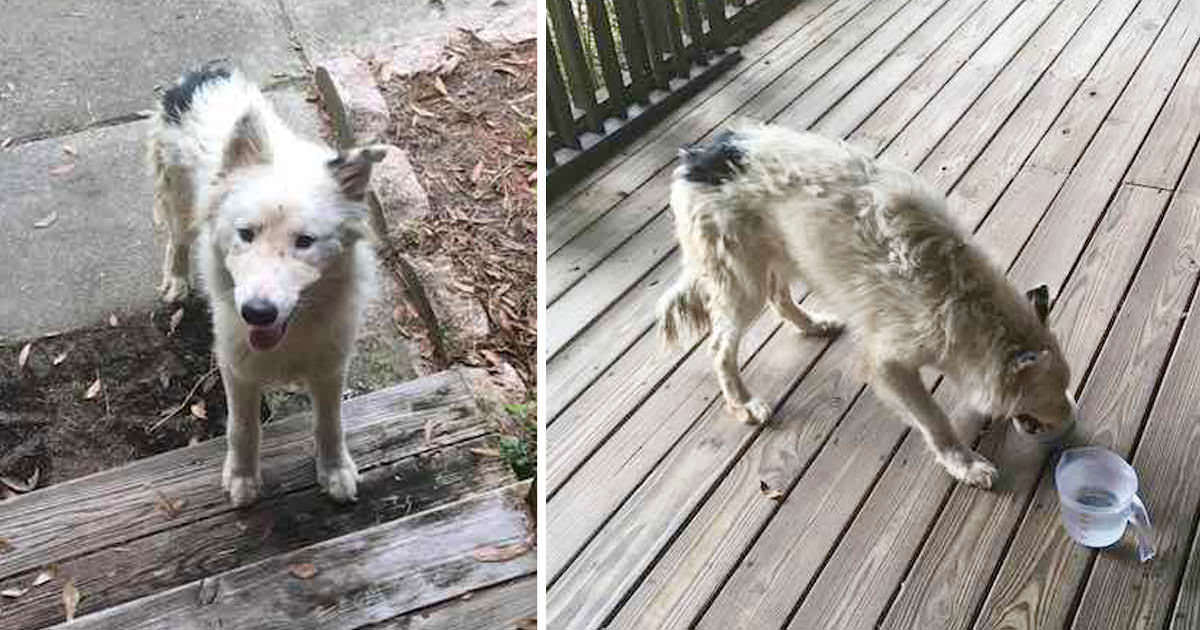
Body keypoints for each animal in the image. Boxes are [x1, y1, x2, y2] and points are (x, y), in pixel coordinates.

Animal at [148, 62, 384, 506]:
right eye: (246, 234)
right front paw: (243, 479)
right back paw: (176, 280)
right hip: (179, 201)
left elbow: (330, 423)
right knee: (178, 239)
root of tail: (206, 72)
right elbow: (243, 428)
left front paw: (334, 470)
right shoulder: (236, 366)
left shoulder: (330, 365)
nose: (257, 313)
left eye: (305, 242)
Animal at [657, 123, 1080, 487]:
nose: (1072, 422)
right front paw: (965, 464)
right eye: (1049, 399)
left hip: (781, 256)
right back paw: (744, 403)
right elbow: (935, 420)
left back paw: (814, 324)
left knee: (780, 298)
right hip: (742, 282)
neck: (965, 300)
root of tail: (695, 157)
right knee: (720, 348)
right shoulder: (888, 365)